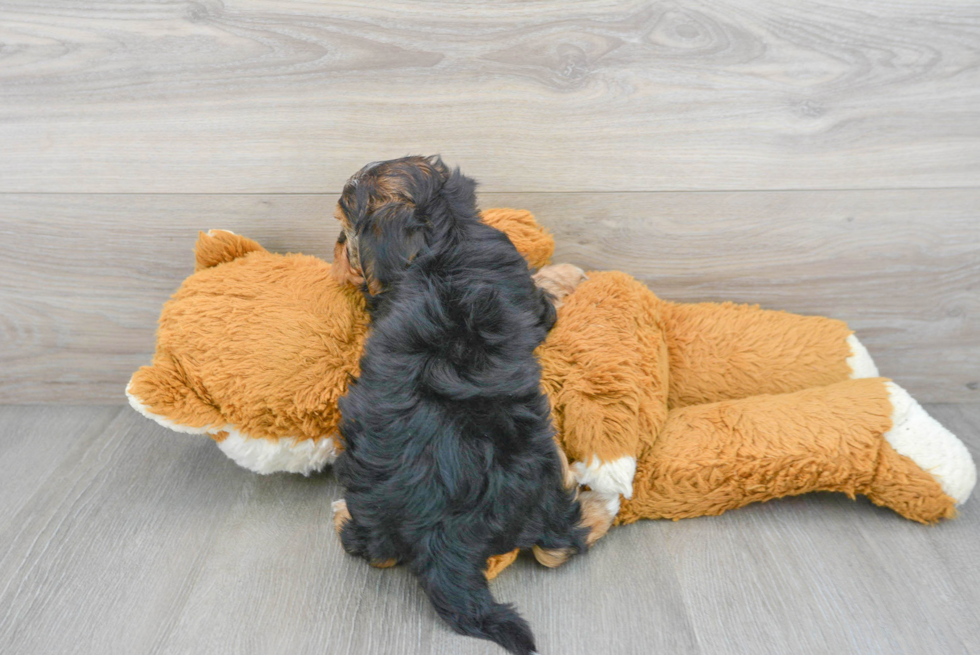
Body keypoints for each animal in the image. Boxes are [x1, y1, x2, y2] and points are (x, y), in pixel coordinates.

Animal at [330, 156, 588, 652]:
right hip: (541, 480)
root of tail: (444, 531)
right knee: (559, 544)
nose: (333, 250)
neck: (445, 231)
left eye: (345, 230)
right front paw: (566, 274)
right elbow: (542, 292)